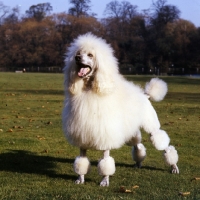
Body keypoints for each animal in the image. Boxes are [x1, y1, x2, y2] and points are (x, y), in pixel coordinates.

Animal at [62, 32, 178, 186]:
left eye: (90, 55)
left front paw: (105, 180)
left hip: (151, 126)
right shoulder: (82, 136)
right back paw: (138, 164)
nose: (77, 58)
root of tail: (145, 96)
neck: (90, 89)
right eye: (78, 53)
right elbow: (82, 160)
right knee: (138, 146)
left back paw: (174, 166)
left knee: (162, 143)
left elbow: (106, 161)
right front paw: (80, 178)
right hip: (132, 131)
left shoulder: (106, 135)